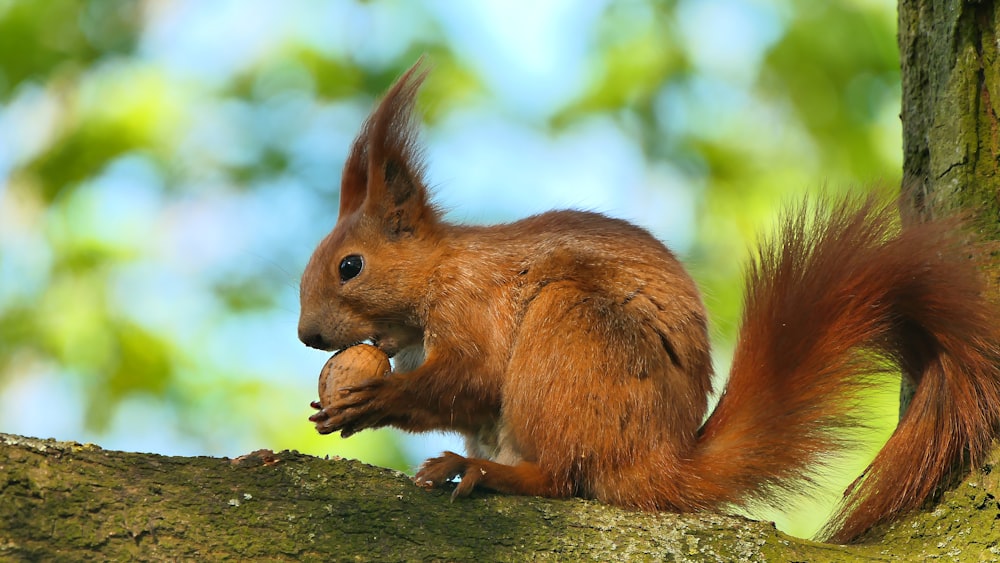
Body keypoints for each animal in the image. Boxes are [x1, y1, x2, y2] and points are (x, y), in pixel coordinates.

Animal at [298, 62, 1000, 548]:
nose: (307, 336)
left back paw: (485, 472)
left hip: (571, 333)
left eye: (350, 266)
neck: (439, 272)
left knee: (564, 478)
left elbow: (472, 377)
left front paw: (372, 399)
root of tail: (656, 463)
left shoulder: (473, 308)